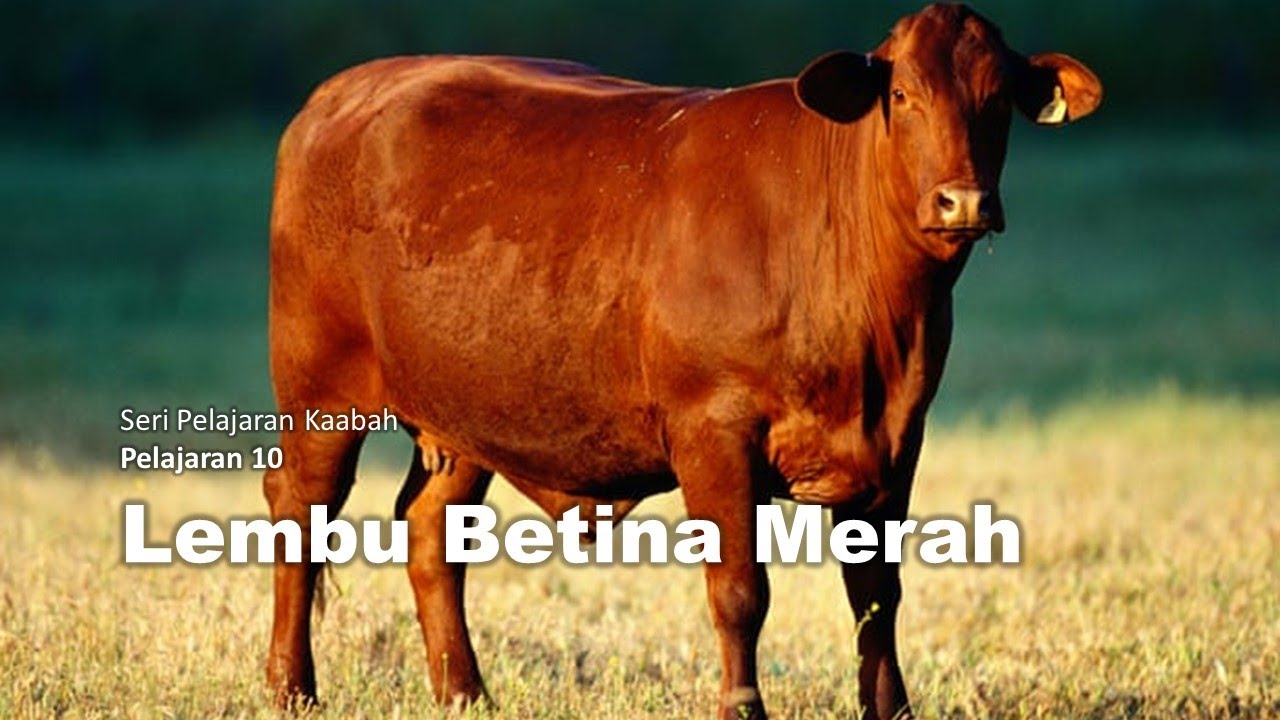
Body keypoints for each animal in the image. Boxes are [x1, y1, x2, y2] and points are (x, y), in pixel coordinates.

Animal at [262, 4, 1101, 718]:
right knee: (300, 514)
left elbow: (876, 596)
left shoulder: (896, 441)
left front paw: (890, 709)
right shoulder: (713, 433)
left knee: (432, 528)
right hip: (321, 387)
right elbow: (739, 592)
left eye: (999, 100)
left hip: (467, 409)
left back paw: (466, 693)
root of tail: (346, 88)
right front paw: (743, 707)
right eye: (902, 93)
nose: (964, 201)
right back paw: (291, 688)